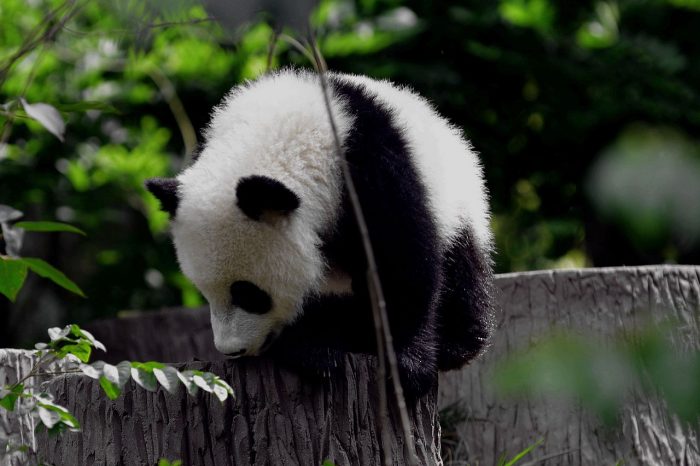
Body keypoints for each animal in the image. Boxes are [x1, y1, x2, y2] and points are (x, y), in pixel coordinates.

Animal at [145, 69, 494, 396]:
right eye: (204, 292)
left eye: (249, 293)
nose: (233, 350)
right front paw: (313, 350)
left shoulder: (371, 172)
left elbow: (402, 261)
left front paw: (407, 366)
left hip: (458, 198)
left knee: (463, 268)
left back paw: (452, 343)